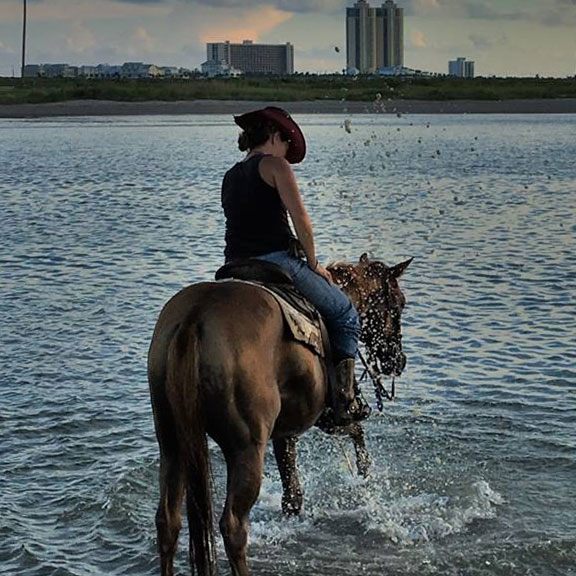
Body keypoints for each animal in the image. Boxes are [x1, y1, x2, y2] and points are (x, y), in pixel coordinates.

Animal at [147, 255, 410, 576]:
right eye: (399, 304)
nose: (397, 361)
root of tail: (195, 318)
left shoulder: (285, 432)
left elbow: (292, 493)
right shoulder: (328, 415)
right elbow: (356, 429)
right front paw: (364, 471)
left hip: (173, 441)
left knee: (168, 520)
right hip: (246, 450)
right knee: (233, 527)